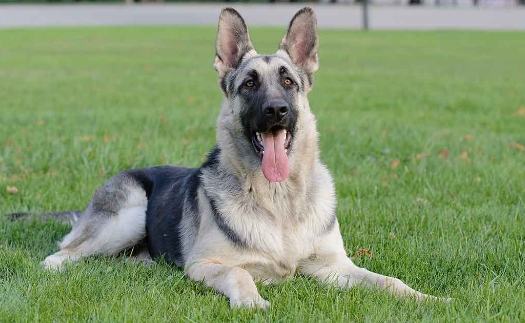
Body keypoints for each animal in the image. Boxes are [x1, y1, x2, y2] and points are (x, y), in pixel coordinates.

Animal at [30, 6, 444, 308]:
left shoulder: (334, 267)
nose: (276, 110)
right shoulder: (205, 265)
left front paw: (427, 298)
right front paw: (252, 301)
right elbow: (240, 273)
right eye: (249, 84)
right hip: (128, 215)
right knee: (61, 254)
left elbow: (388, 281)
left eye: (288, 81)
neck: (279, 201)